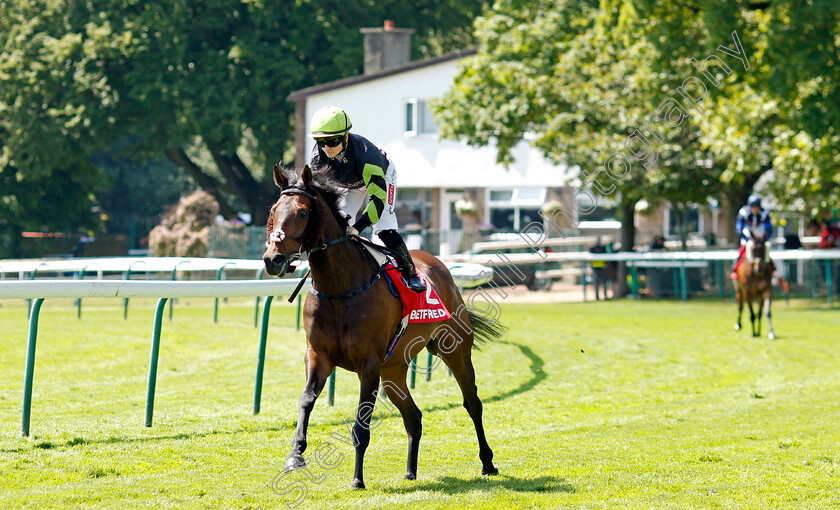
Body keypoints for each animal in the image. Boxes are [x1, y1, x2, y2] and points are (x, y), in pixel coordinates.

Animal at [262, 164, 502, 490]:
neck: (340, 287)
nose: (272, 259)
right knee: (414, 416)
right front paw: (295, 455)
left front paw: (357, 479)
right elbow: (306, 400)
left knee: (472, 402)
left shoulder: (369, 364)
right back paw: (411, 471)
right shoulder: (317, 356)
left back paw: (487, 462)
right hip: (394, 369)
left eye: (302, 212)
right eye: (273, 210)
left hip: (454, 350)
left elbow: (361, 423)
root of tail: (439, 266)